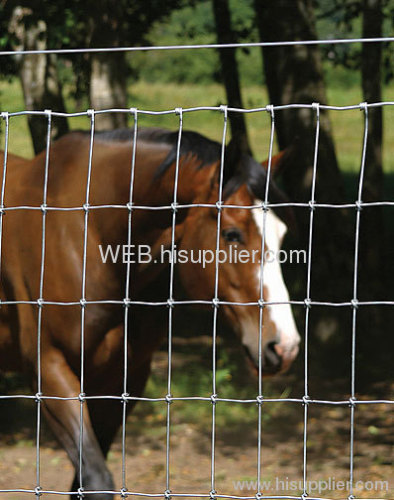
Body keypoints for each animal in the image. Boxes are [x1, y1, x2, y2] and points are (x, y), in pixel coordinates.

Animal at [0, 127, 298, 498]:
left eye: (281, 235)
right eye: (232, 234)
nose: (284, 346)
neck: (86, 233)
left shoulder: (123, 378)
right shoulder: (49, 369)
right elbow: (96, 480)